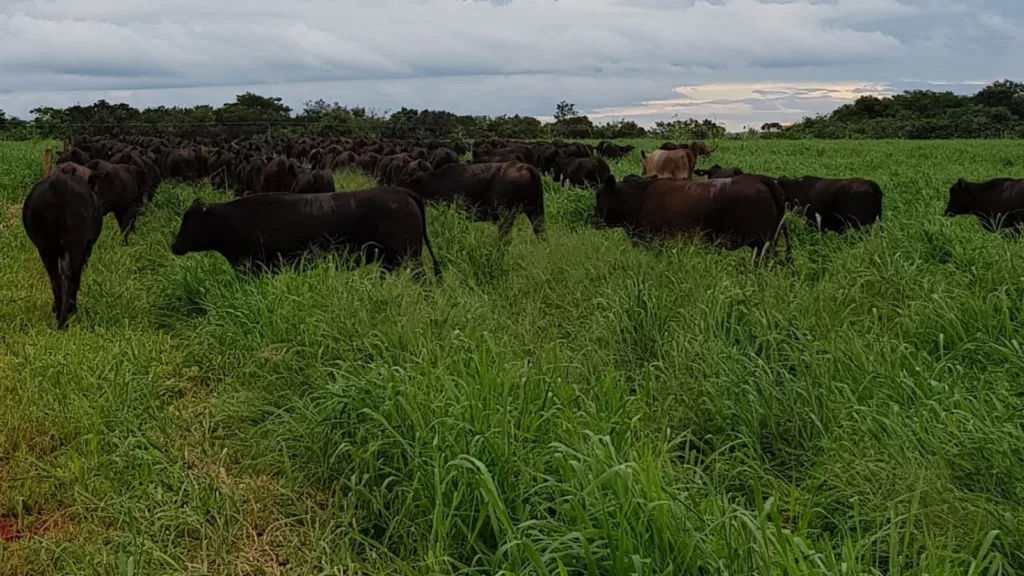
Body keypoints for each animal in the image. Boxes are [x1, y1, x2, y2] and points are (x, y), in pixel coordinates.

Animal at [21, 163, 104, 330]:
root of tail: (60, 184)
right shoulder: (86, 248)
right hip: (75, 245)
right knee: (71, 276)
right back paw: (65, 319)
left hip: (45, 248)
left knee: (56, 278)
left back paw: (59, 314)